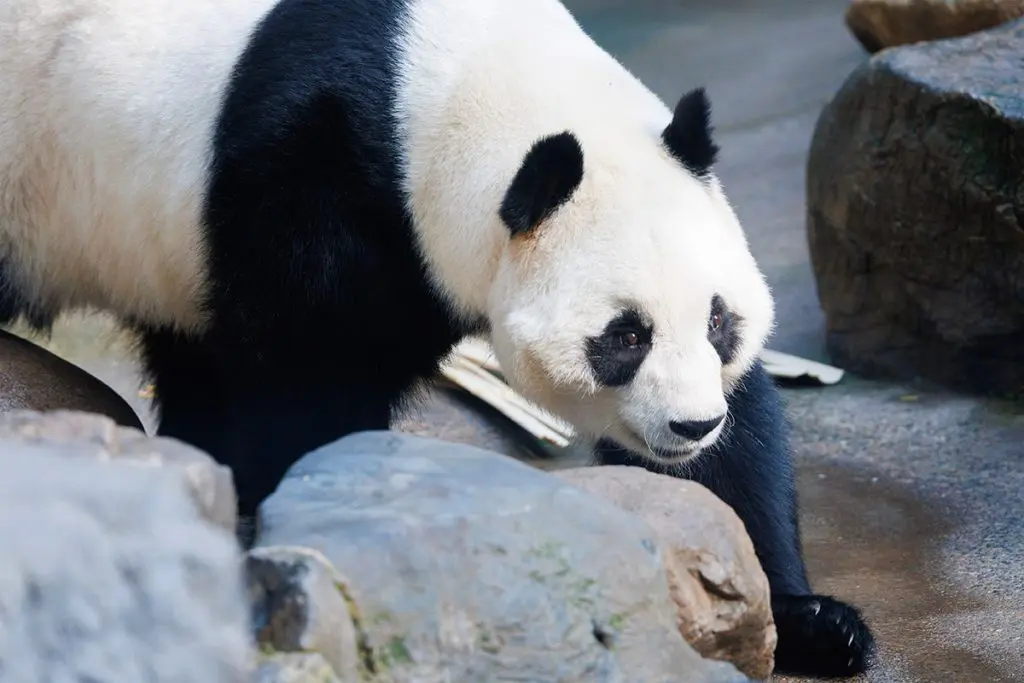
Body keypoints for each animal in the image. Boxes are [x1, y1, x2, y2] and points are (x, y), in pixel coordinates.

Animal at [0, 0, 874, 676]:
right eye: (625, 335)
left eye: (719, 320)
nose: (690, 425)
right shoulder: (311, 172)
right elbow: (304, 383)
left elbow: (739, 456)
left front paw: (810, 619)